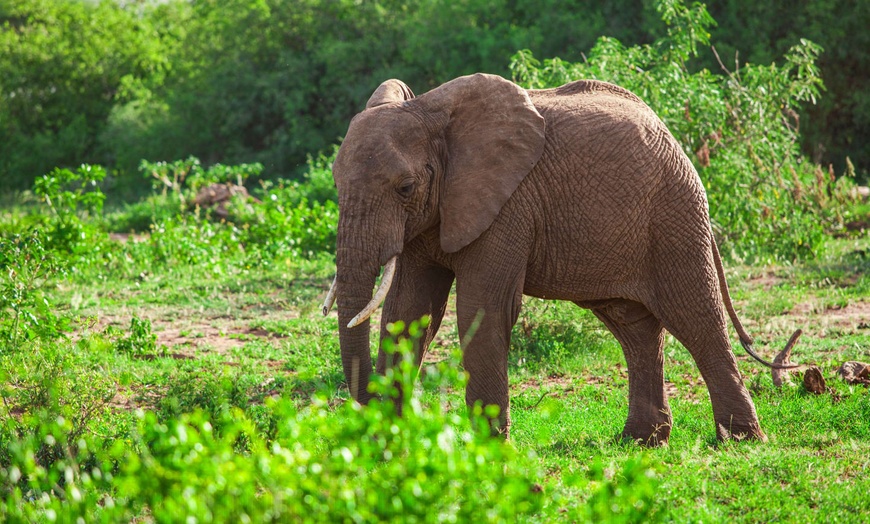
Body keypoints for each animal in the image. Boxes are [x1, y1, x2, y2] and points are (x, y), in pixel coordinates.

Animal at [324, 71, 800, 444]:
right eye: (335, 182)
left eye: (405, 188)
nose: (367, 411)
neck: (429, 112)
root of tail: (668, 131)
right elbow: (408, 311)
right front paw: (389, 441)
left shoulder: (509, 204)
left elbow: (482, 309)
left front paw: (488, 451)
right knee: (634, 327)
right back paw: (640, 442)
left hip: (674, 215)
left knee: (695, 316)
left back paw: (742, 440)